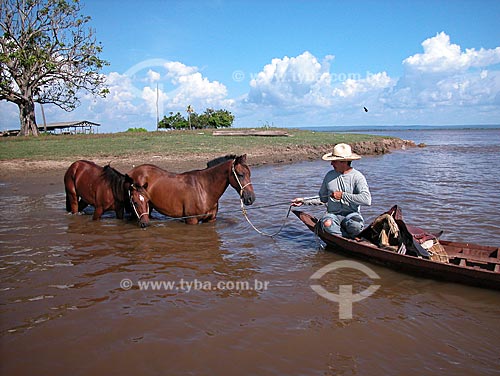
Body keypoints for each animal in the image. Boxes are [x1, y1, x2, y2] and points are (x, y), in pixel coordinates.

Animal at [127, 154, 256, 225]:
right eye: (240, 174)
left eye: (249, 174)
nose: (251, 198)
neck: (204, 189)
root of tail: (130, 172)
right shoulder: (192, 220)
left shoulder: (211, 220)